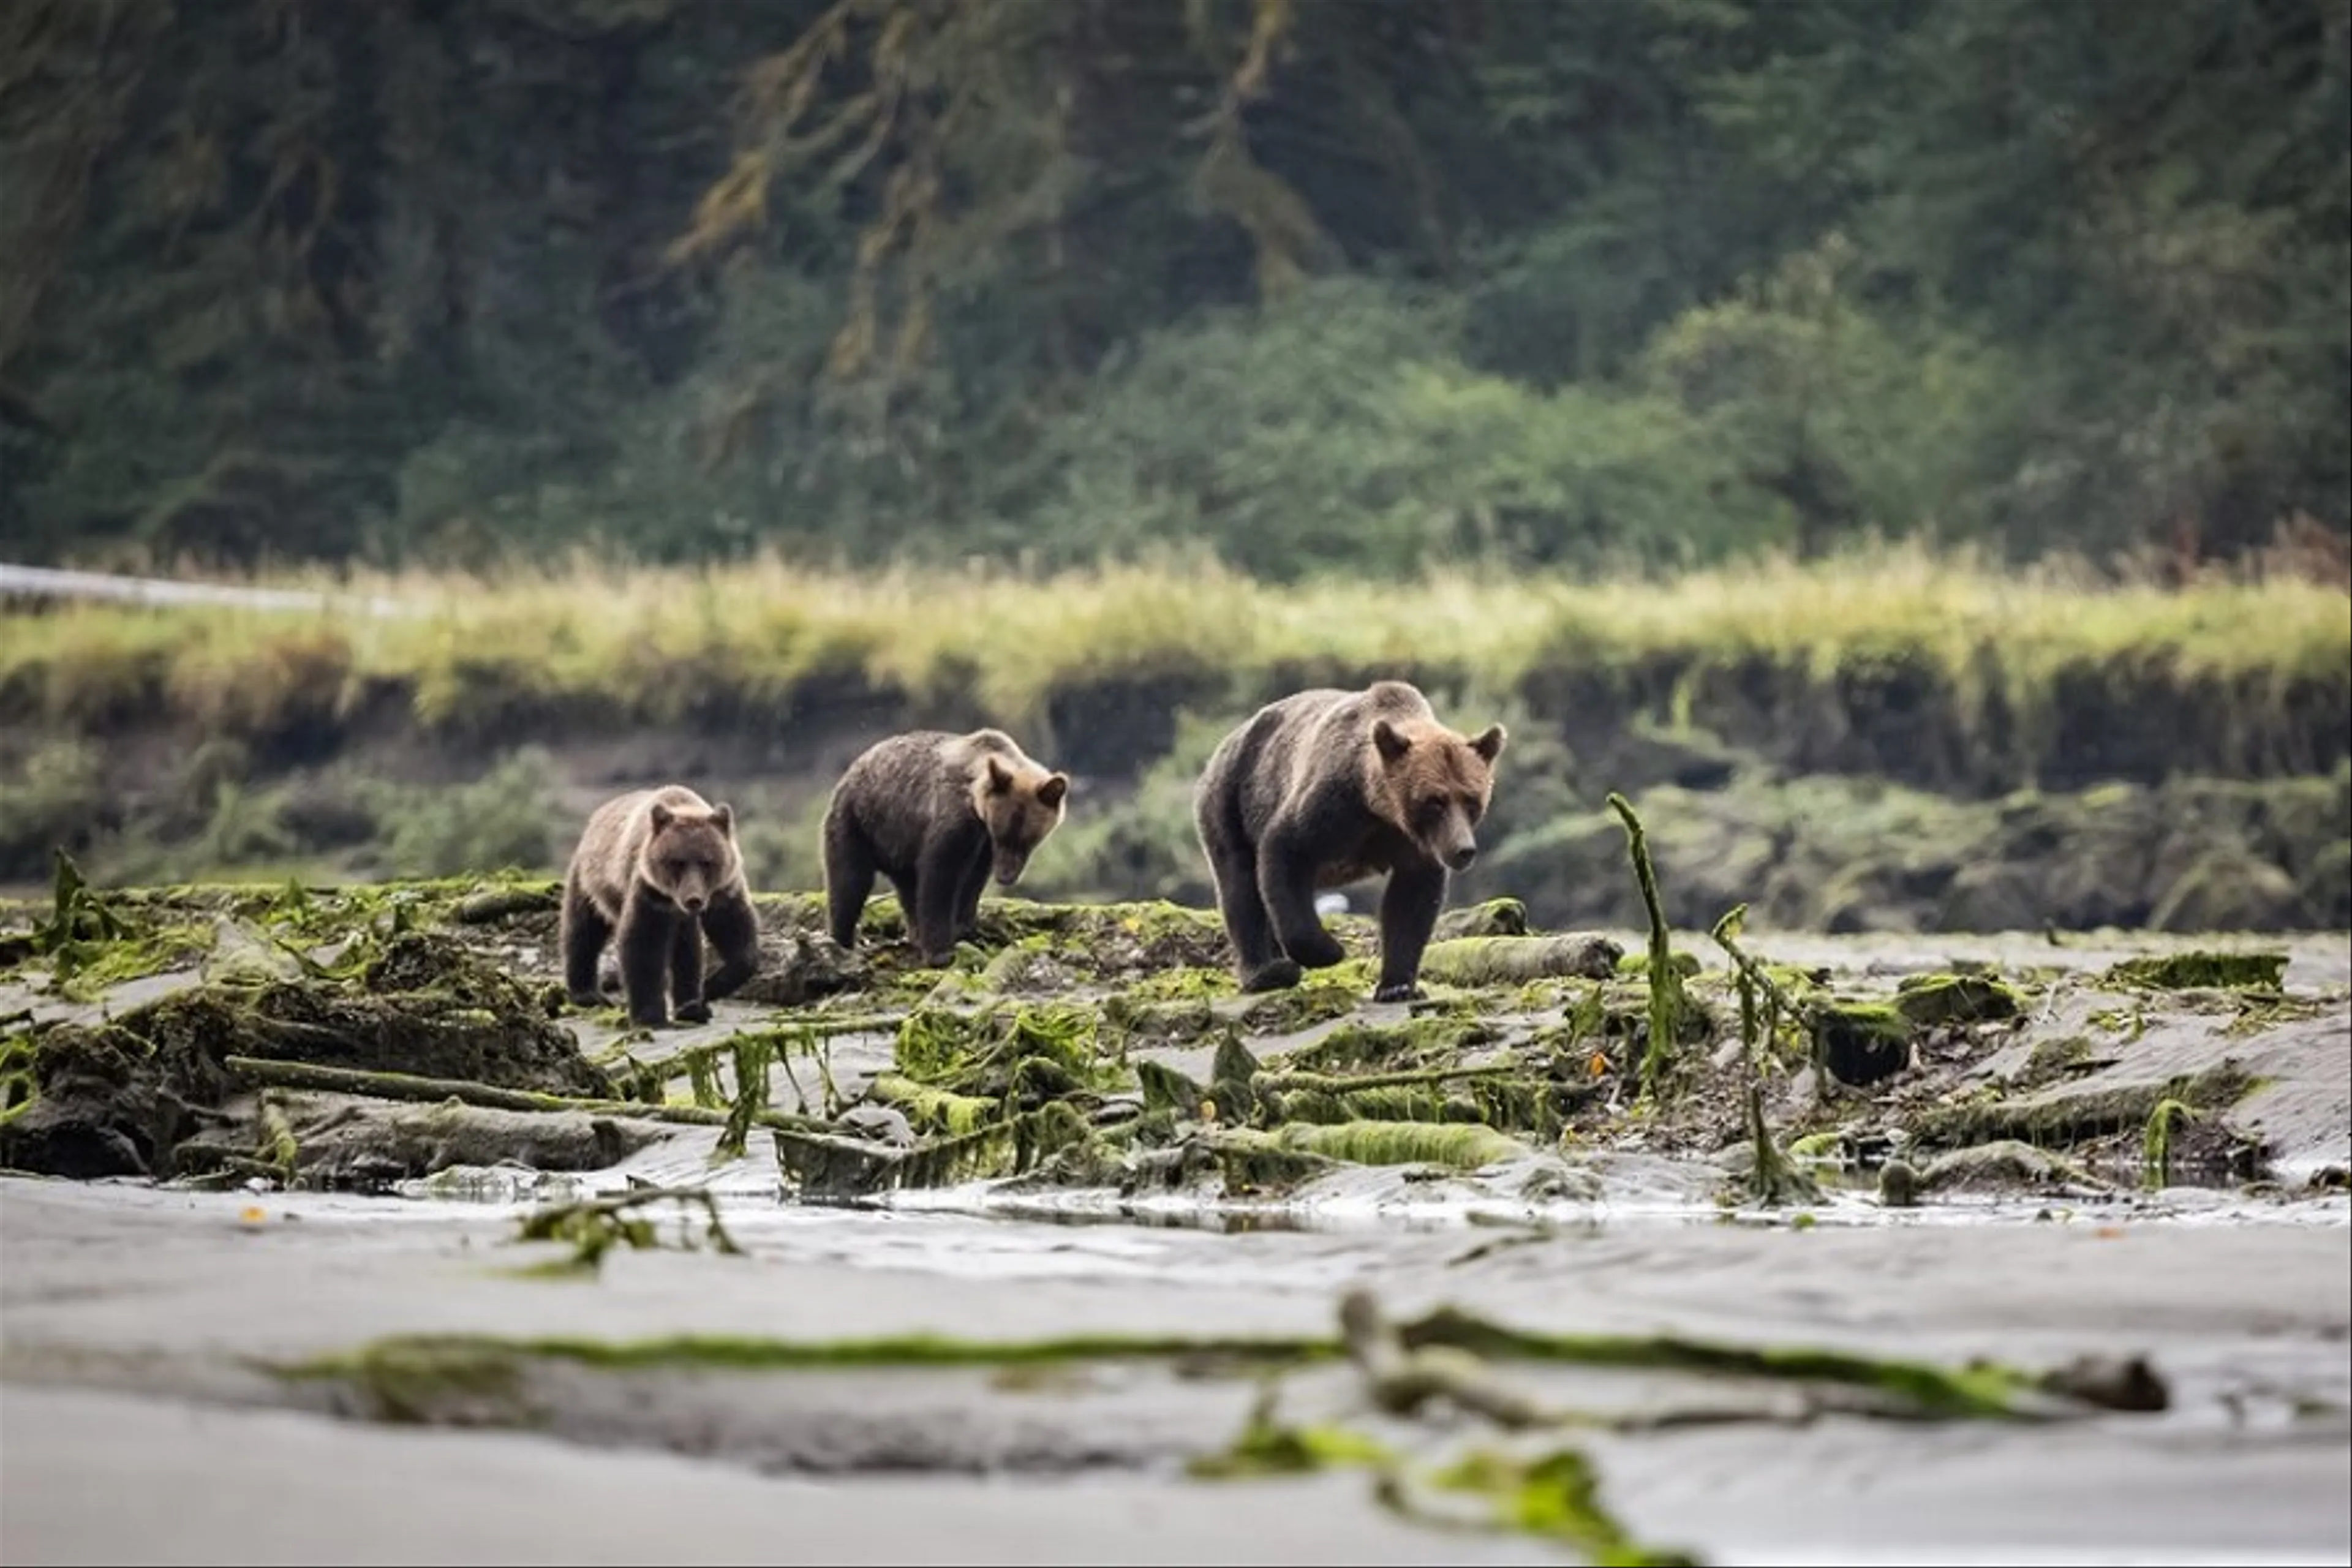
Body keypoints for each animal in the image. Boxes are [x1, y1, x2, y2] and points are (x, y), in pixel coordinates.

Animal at [559, 785, 762, 1030]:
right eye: (677, 862)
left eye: (707, 862)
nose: (693, 899)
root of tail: (598, 815)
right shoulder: (650, 891)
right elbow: (644, 942)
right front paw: (651, 1016)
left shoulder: (724, 890)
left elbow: (736, 933)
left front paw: (709, 990)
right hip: (590, 880)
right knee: (583, 930)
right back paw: (588, 995)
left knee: (687, 945)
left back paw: (691, 1008)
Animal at [823, 733, 1072, 968]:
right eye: (1002, 834)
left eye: (1027, 839)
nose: (1005, 877)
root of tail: (851, 770)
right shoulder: (954, 821)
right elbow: (940, 876)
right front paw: (940, 952)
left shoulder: (982, 842)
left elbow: (973, 881)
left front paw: (966, 929)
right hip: (859, 821)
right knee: (850, 881)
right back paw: (841, 943)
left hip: (901, 842)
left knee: (907, 887)